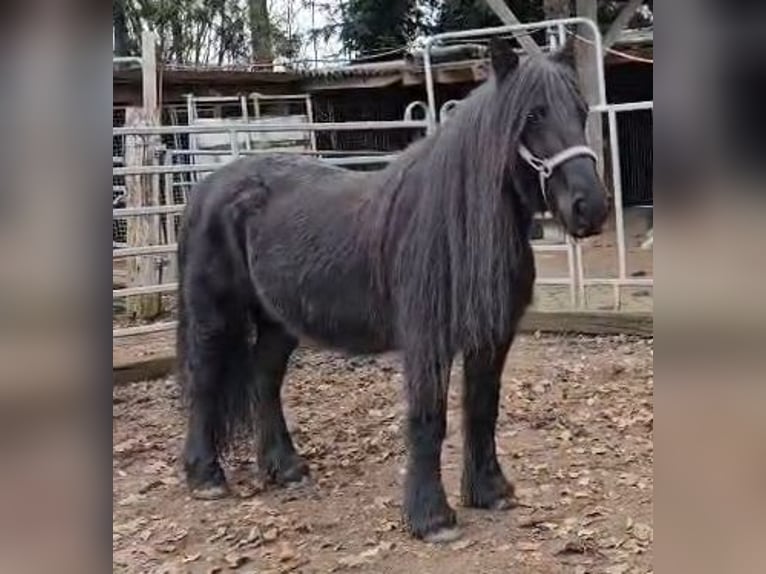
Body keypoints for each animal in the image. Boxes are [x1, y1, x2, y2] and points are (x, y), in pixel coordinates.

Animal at [176, 37, 610, 542]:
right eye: (534, 115)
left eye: (581, 110)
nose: (591, 207)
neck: (455, 223)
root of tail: (207, 188)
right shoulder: (427, 340)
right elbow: (428, 418)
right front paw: (432, 518)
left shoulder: (492, 337)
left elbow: (483, 410)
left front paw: (490, 491)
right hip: (214, 315)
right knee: (204, 381)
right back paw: (206, 477)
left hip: (279, 321)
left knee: (264, 380)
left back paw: (286, 468)